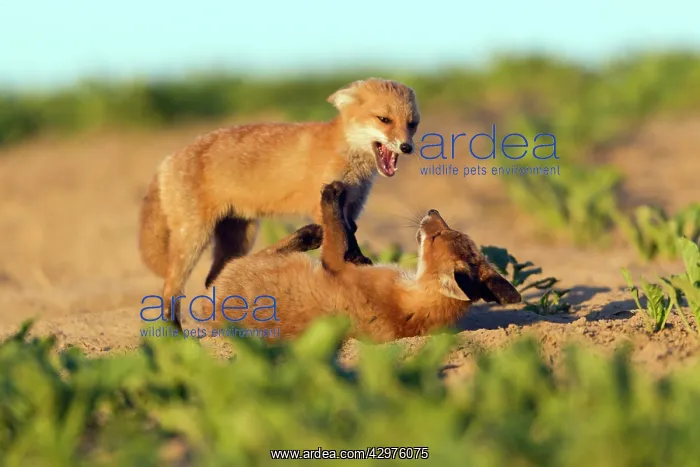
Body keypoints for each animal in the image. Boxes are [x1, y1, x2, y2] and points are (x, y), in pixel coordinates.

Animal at [138, 78, 421, 330]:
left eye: (412, 124)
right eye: (384, 120)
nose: (406, 147)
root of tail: (167, 160)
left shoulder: (353, 205)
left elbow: (351, 234)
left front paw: (358, 260)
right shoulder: (323, 203)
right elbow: (342, 236)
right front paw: (354, 262)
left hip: (240, 237)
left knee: (214, 279)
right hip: (194, 239)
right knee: (171, 290)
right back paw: (176, 336)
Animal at [196, 181, 523, 344]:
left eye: (436, 235)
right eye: (448, 230)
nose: (432, 211)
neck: (409, 308)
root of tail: (207, 308)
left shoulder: (336, 264)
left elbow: (335, 233)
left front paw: (332, 199)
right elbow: (348, 245)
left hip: (253, 266)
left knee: (253, 256)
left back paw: (309, 232)